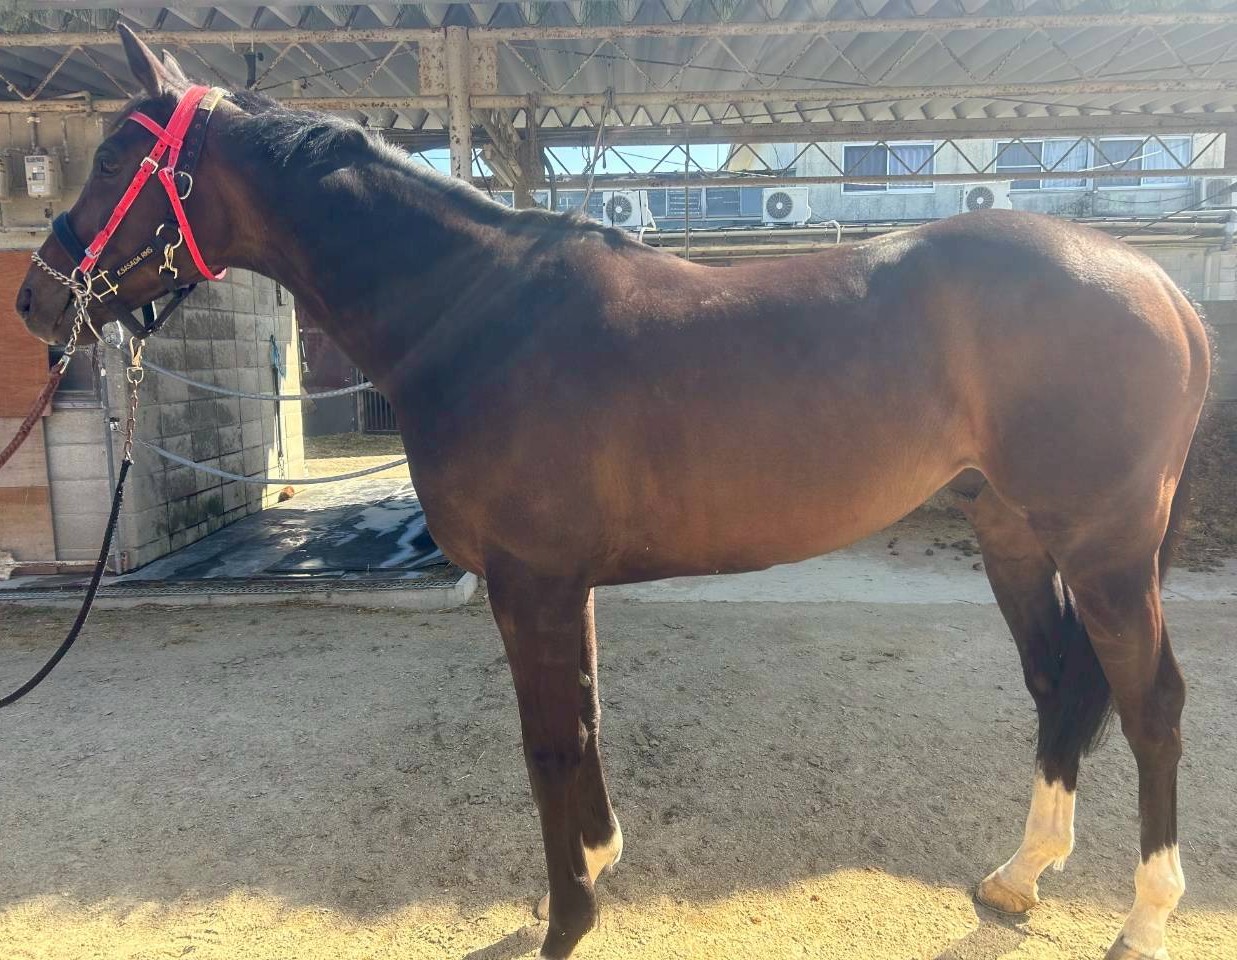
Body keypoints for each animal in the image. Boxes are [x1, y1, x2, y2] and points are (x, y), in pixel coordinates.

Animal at [16, 25, 1209, 960]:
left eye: (118, 153)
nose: (36, 299)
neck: (477, 310)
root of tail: (1157, 282)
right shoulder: (562, 585)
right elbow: (584, 722)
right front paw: (599, 864)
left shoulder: (530, 582)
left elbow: (548, 742)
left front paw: (566, 921)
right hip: (1011, 530)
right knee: (1057, 683)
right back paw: (1018, 876)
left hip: (1104, 545)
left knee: (1148, 702)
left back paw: (1144, 919)